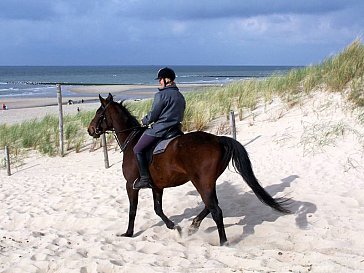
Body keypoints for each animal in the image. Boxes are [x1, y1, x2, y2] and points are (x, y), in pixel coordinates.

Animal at [87, 93, 290, 244]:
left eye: (98, 113)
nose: (90, 130)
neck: (132, 140)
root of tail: (218, 139)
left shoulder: (130, 184)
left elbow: (133, 210)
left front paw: (128, 233)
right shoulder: (157, 186)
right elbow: (158, 209)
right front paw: (175, 227)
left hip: (200, 182)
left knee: (215, 210)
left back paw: (223, 242)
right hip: (207, 182)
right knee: (210, 205)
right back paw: (193, 226)